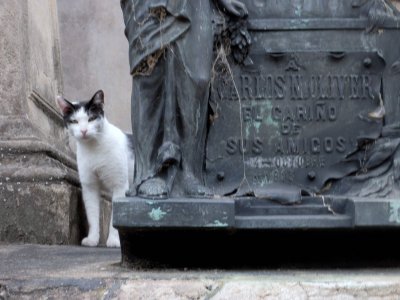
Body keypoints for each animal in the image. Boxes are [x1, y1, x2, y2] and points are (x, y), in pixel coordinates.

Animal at [55, 89, 134, 248]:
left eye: (91, 118)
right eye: (74, 121)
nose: (84, 130)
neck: (94, 148)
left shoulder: (120, 185)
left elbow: (115, 218)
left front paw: (114, 241)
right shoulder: (89, 186)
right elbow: (92, 215)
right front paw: (92, 239)